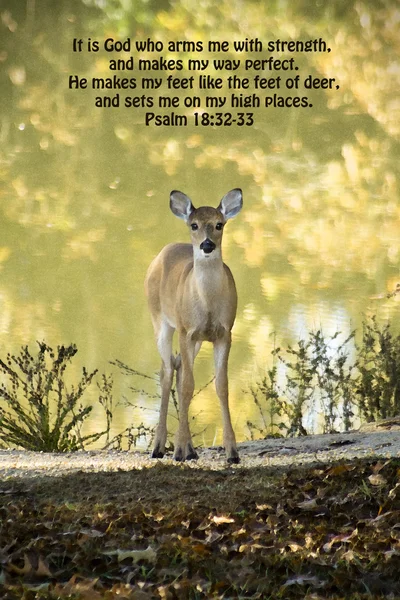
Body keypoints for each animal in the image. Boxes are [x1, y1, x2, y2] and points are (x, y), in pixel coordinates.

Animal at [145, 189, 242, 464]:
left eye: (219, 224)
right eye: (194, 225)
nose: (207, 245)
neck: (207, 304)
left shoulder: (224, 332)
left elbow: (222, 386)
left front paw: (232, 452)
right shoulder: (185, 330)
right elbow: (189, 386)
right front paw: (177, 451)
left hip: (194, 338)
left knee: (177, 368)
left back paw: (190, 448)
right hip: (160, 320)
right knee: (167, 371)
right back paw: (159, 447)